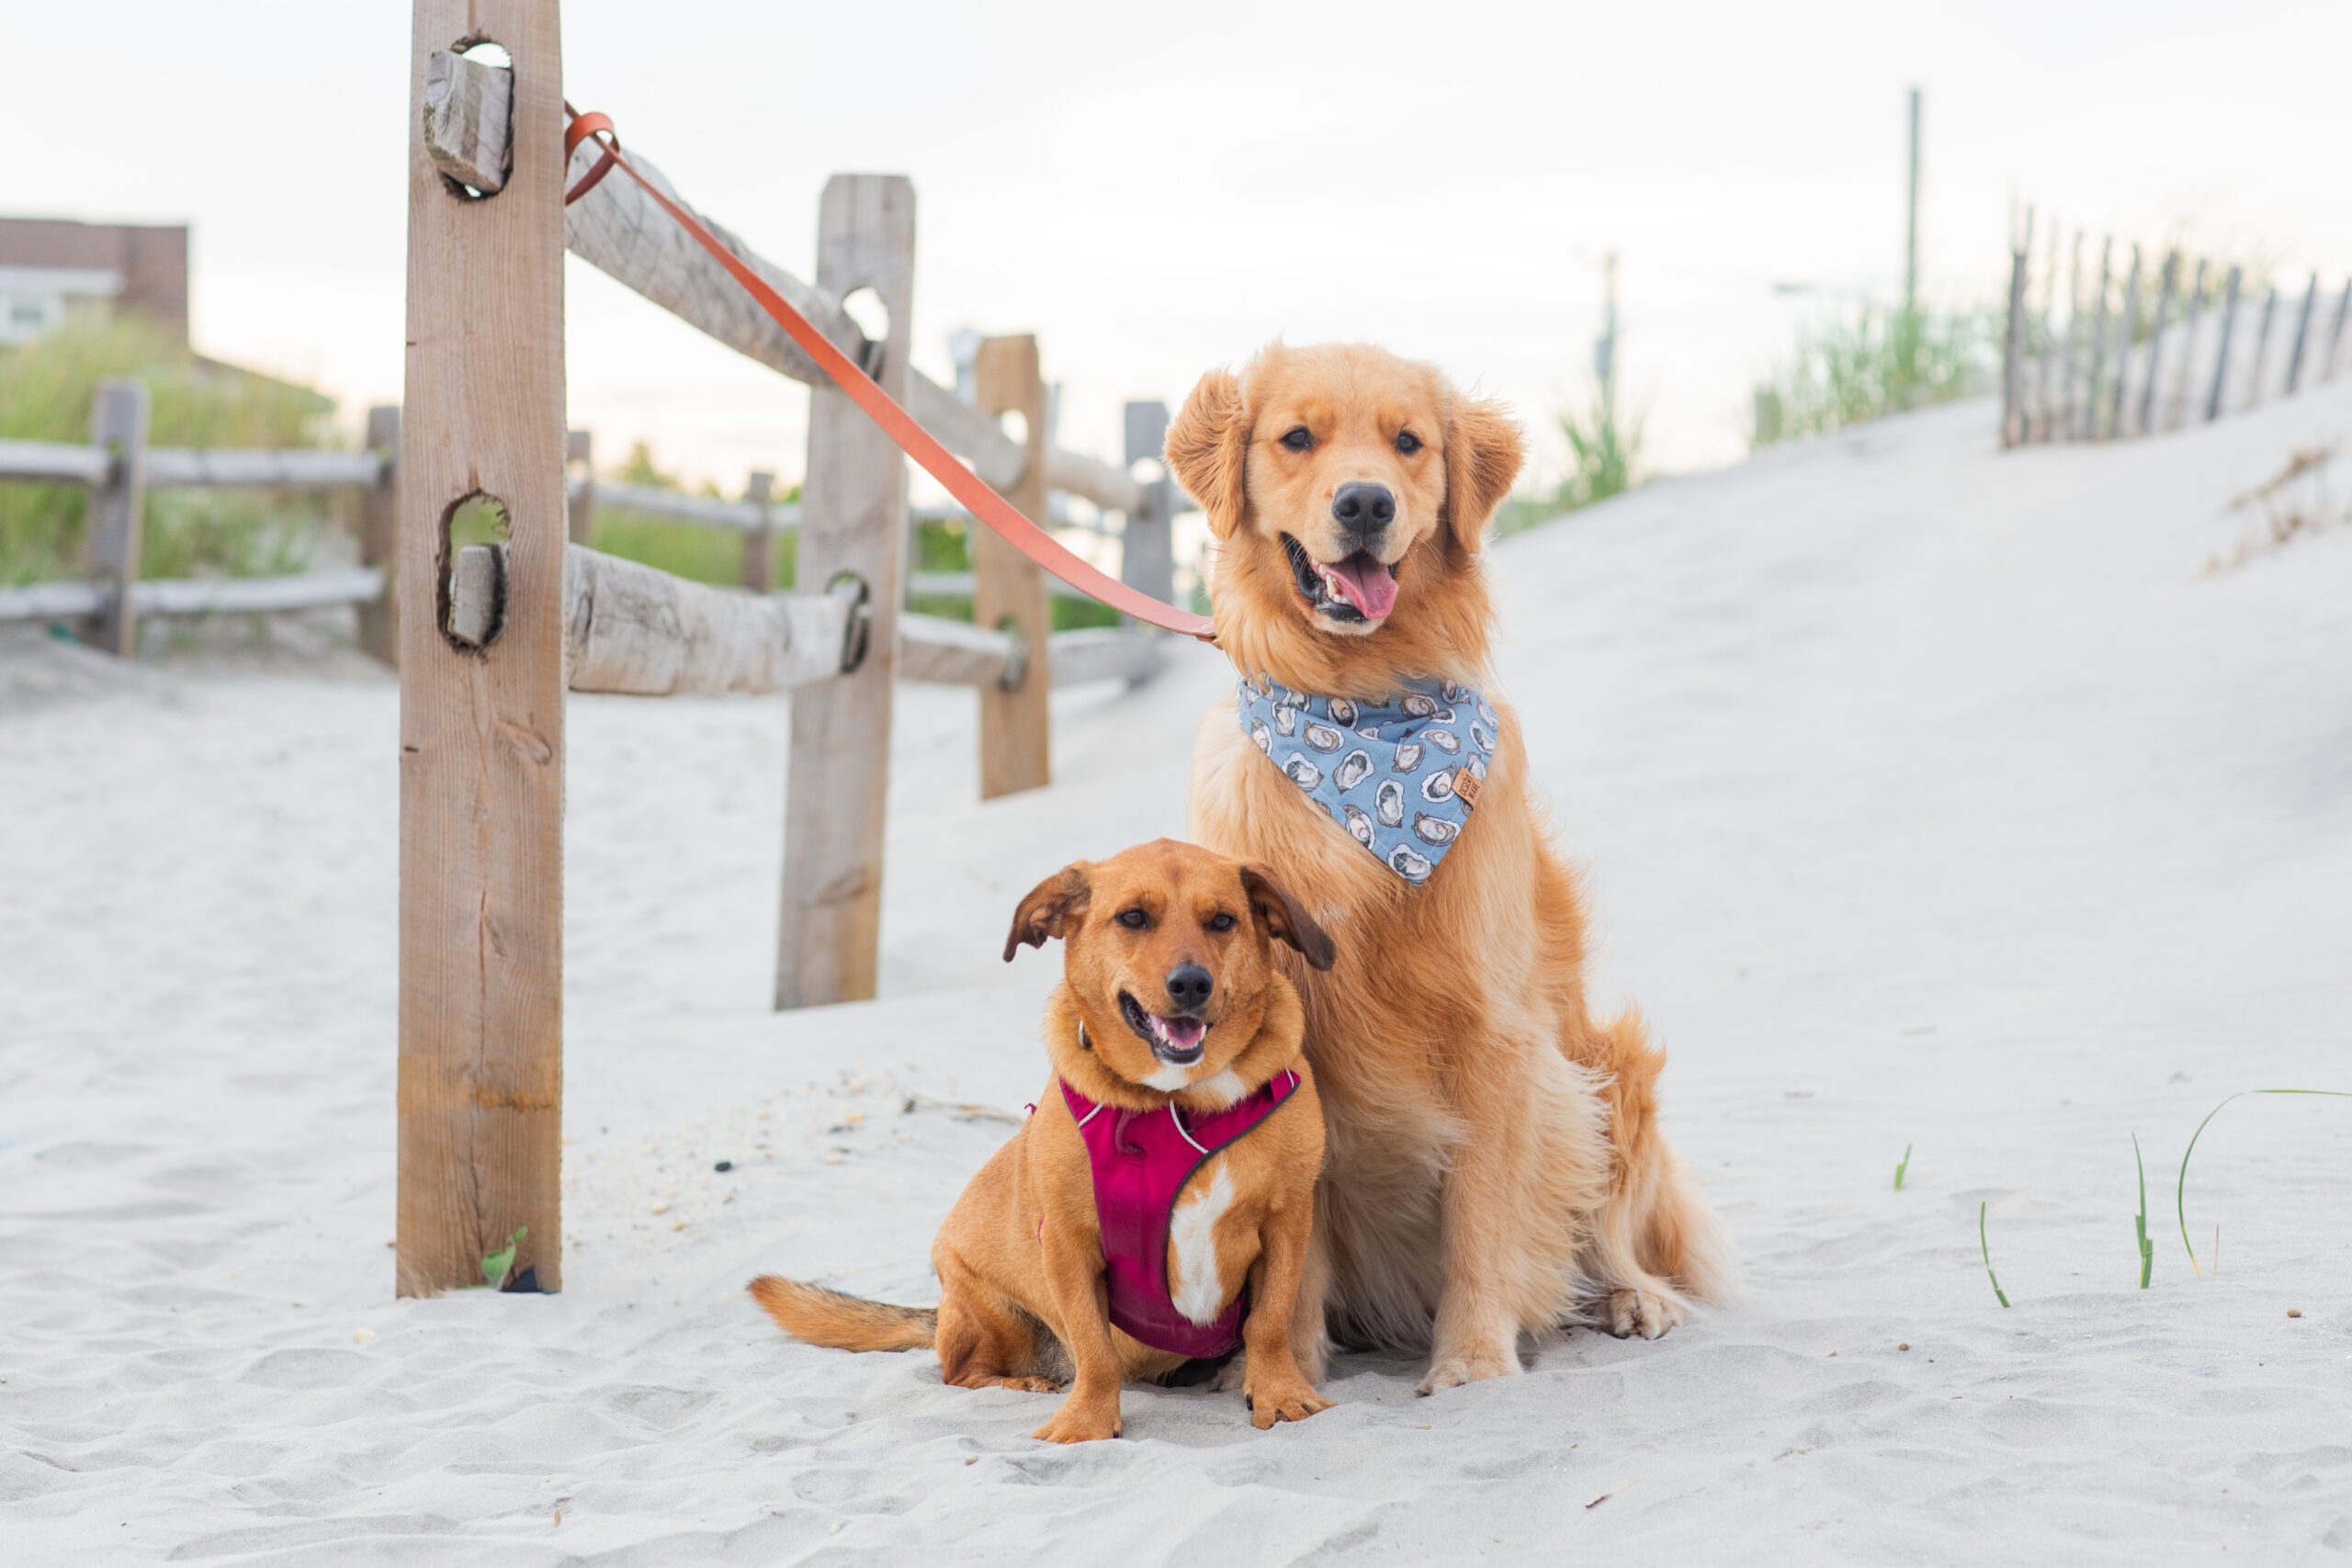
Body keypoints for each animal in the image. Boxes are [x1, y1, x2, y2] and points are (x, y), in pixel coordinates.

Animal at [752, 841, 1345, 1438]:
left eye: (1223, 921)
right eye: (1134, 917)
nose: (1191, 984)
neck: (1180, 1100)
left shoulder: (1286, 1221)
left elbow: (1270, 1322)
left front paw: (1280, 1393)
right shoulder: (1067, 1242)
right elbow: (1094, 1347)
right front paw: (1087, 1421)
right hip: (990, 1311)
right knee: (962, 1373)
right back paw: (1024, 1383)